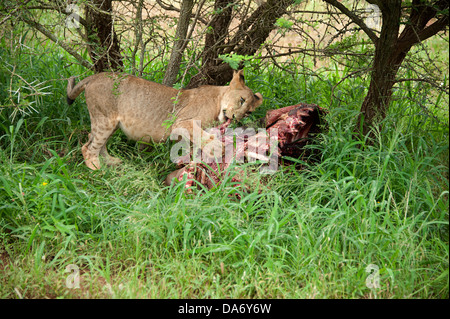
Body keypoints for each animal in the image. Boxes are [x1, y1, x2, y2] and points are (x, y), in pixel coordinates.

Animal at [67, 69, 264, 171]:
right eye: (241, 100)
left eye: (248, 112)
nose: (237, 118)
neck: (218, 100)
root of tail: (95, 76)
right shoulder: (181, 122)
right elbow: (201, 135)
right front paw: (217, 147)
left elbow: (195, 144)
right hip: (105, 119)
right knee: (88, 147)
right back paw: (96, 169)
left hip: (110, 122)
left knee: (96, 142)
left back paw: (110, 162)